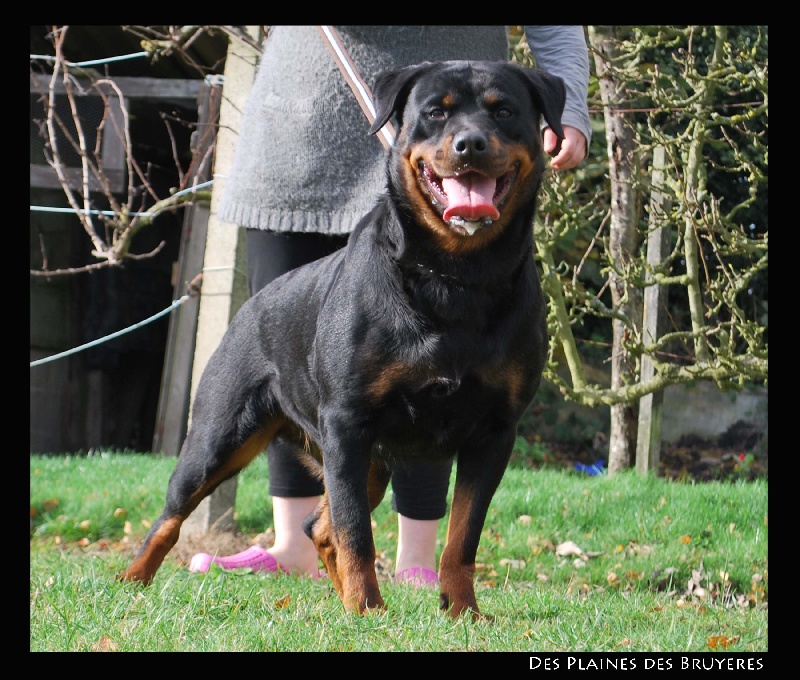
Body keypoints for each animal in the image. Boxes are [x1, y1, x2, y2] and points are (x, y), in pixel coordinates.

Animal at [120, 61, 568, 620]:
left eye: (503, 110)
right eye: (435, 113)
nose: (470, 144)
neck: (454, 276)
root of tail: (250, 304)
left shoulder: (494, 432)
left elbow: (463, 537)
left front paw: (462, 611)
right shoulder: (348, 421)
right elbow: (358, 533)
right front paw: (367, 609)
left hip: (364, 460)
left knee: (319, 525)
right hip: (223, 436)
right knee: (172, 516)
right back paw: (131, 580)